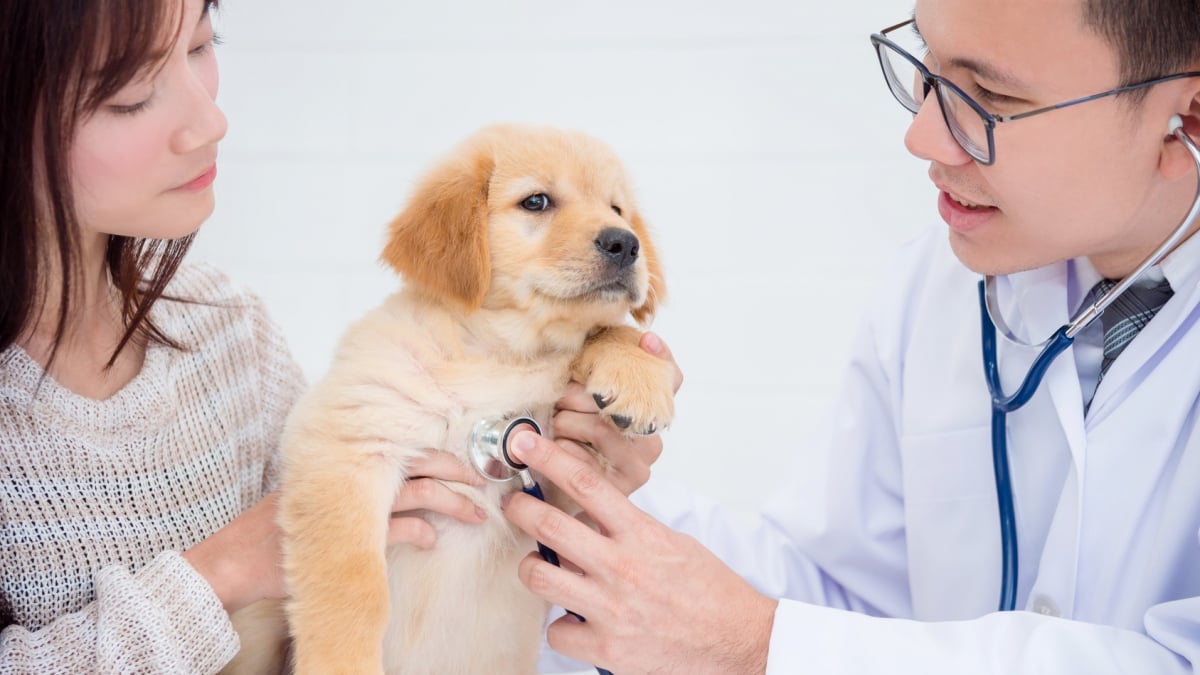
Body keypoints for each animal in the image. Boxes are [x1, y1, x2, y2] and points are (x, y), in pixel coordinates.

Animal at [276, 123, 681, 667]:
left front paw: (639, 376)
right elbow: (352, 586)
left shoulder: (558, 494)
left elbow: (606, 328)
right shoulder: (347, 441)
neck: (499, 355)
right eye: (536, 201)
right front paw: (342, 663)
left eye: (617, 208)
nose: (626, 242)